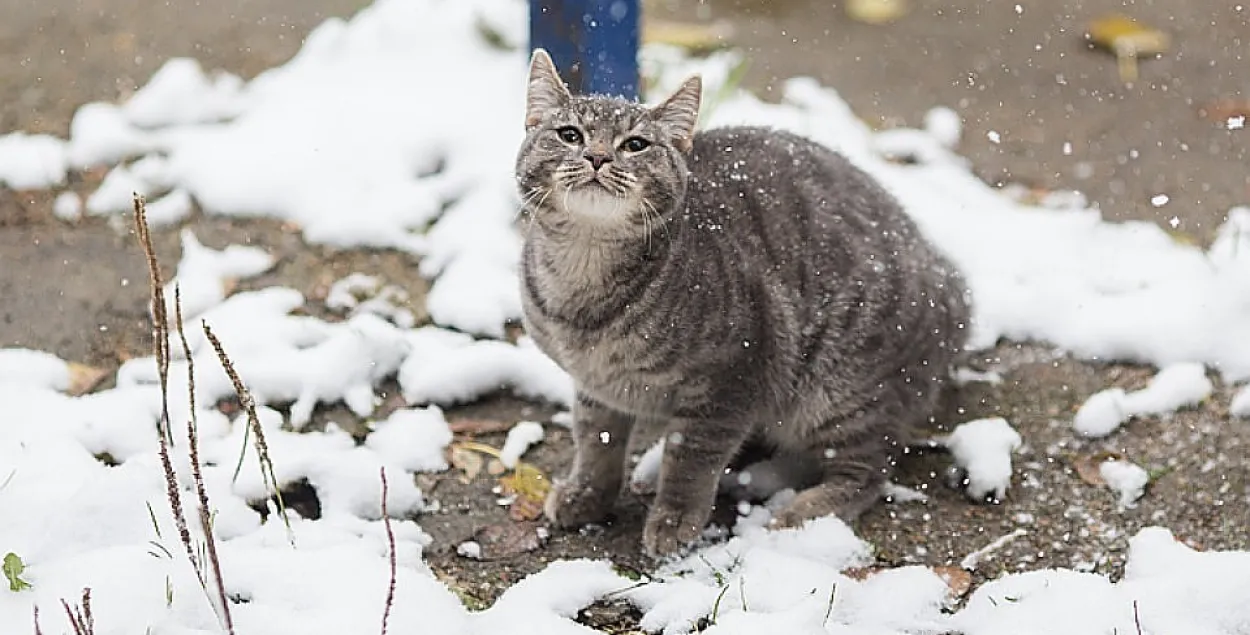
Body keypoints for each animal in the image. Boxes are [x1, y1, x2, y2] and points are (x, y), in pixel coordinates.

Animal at [512, 49, 970, 555]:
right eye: (569, 135)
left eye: (635, 145)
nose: (597, 156)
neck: (583, 279)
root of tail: (948, 284)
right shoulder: (595, 387)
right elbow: (596, 441)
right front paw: (587, 494)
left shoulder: (730, 378)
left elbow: (691, 459)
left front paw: (674, 519)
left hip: (839, 392)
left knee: (869, 468)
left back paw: (801, 512)